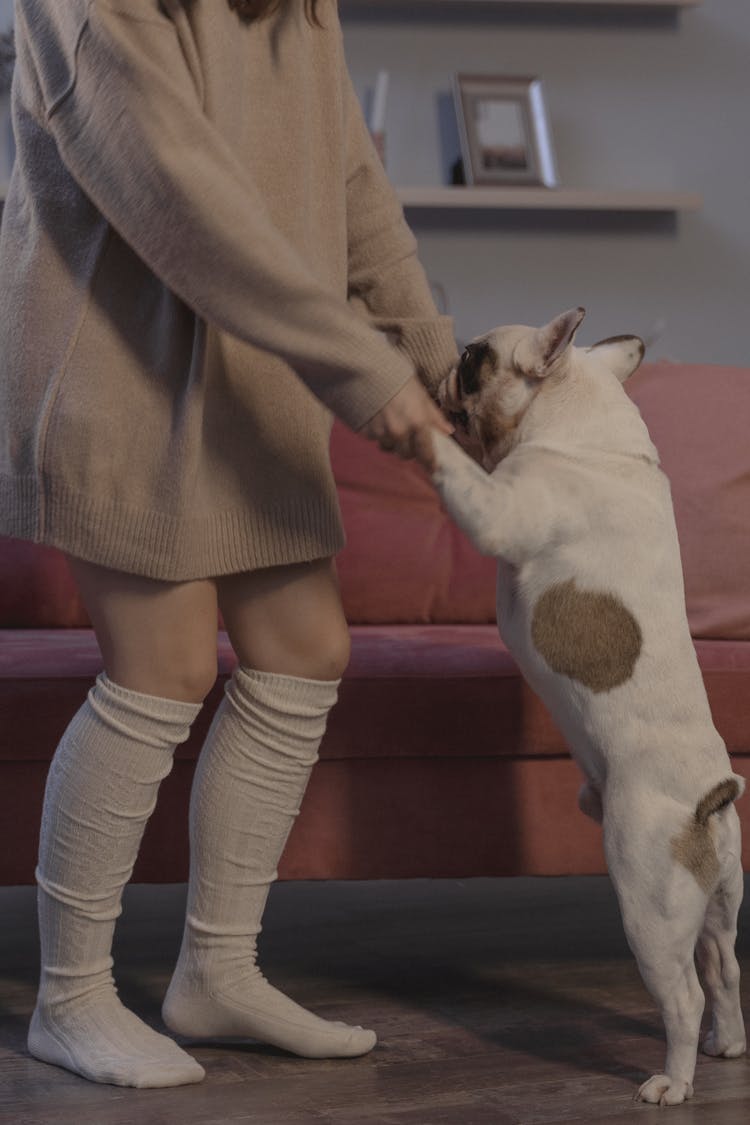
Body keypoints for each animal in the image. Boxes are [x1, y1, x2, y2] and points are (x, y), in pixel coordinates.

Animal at [427, 308, 746, 1107]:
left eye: (473, 359)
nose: (442, 367)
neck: (583, 425)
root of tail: (710, 800)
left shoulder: (500, 508)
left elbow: (464, 477)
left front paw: (422, 432)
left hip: (646, 898)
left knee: (683, 992)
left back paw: (672, 1081)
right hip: (717, 898)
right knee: (723, 966)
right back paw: (726, 1044)